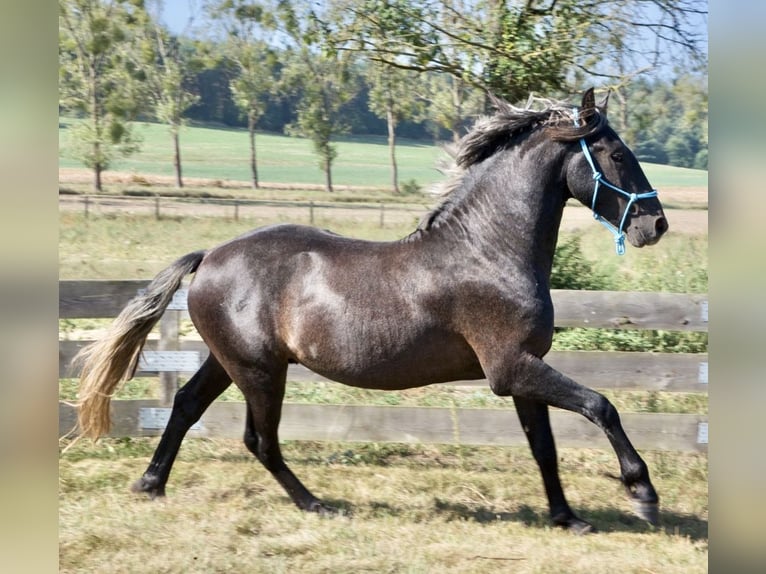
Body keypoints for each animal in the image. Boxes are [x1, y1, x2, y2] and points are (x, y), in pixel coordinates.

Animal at [75, 89, 668, 536]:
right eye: (616, 154)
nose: (655, 225)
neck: (488, 250)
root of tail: (210, 257)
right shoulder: (510, 369)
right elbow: (601, 406)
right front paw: (642, 492)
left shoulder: (522, 372)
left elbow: (544, 447)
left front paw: (568, 518)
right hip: (260, 371)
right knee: (259, 440)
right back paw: (315, 504)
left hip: (231, 363)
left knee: (186, 406)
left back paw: (151, 484)